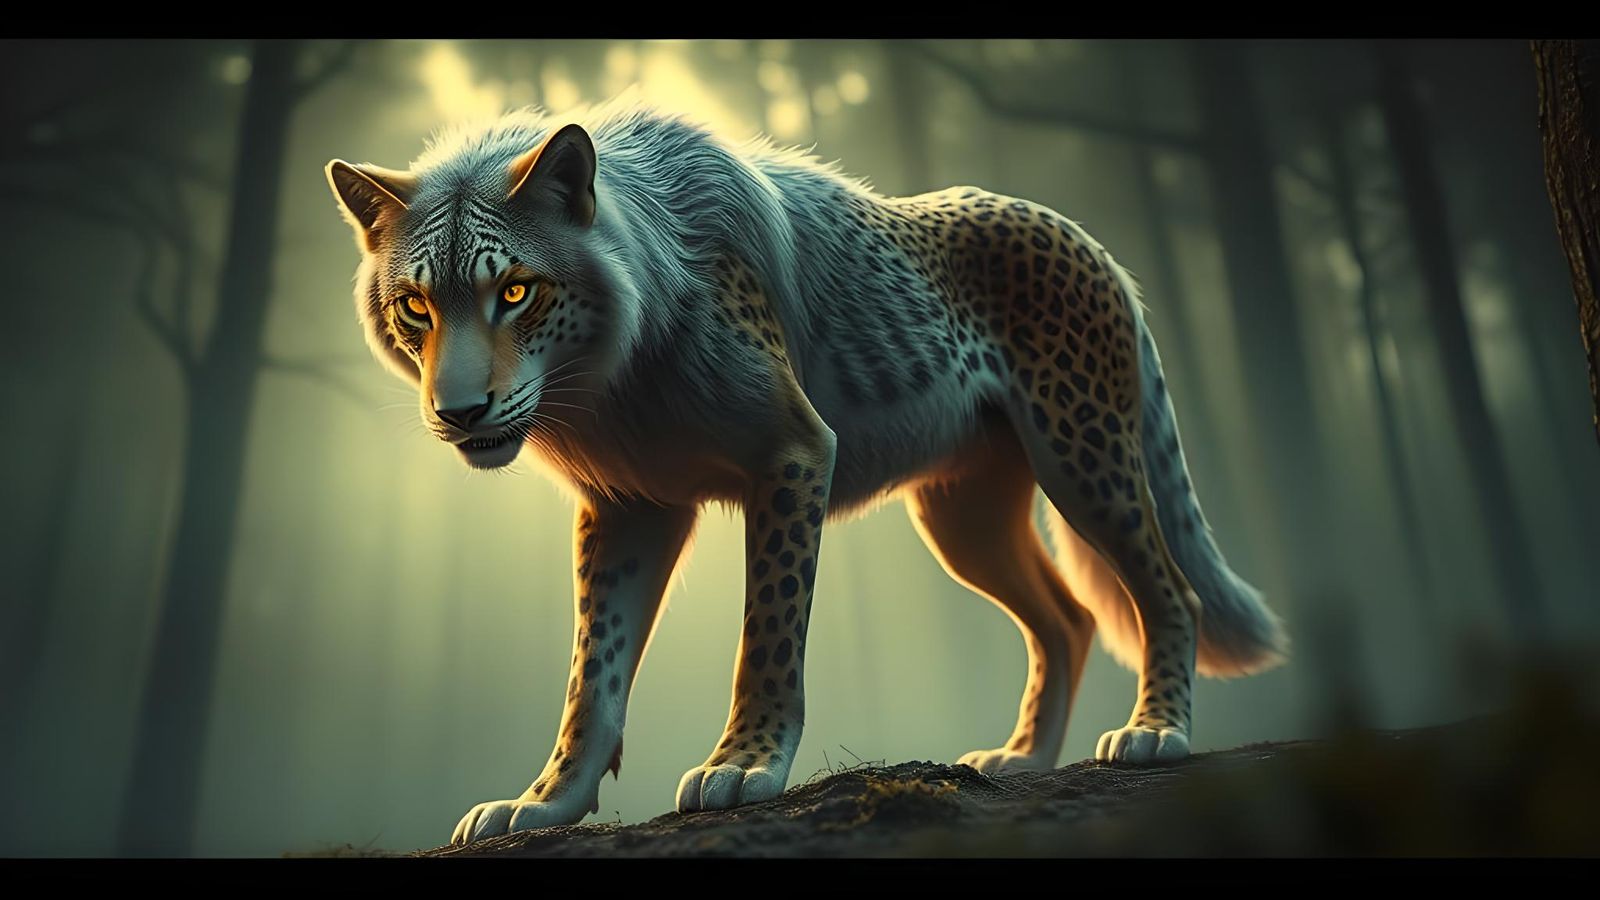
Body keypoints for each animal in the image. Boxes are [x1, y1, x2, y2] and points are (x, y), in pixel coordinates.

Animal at [323, 96, 1289, 846]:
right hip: (963, 522)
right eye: (417, 306)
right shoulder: (628, 506)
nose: (461, 414)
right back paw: (1019, 761)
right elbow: (590, 676)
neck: (621, 366)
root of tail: (1085, 238)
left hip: (1085, 461)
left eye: (515, 291)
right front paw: (544, 803)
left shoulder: (792, 459)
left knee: (1170, 592)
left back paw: (1155, 733)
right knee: (1069, 617)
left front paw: (744, 767)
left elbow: (767, 634)